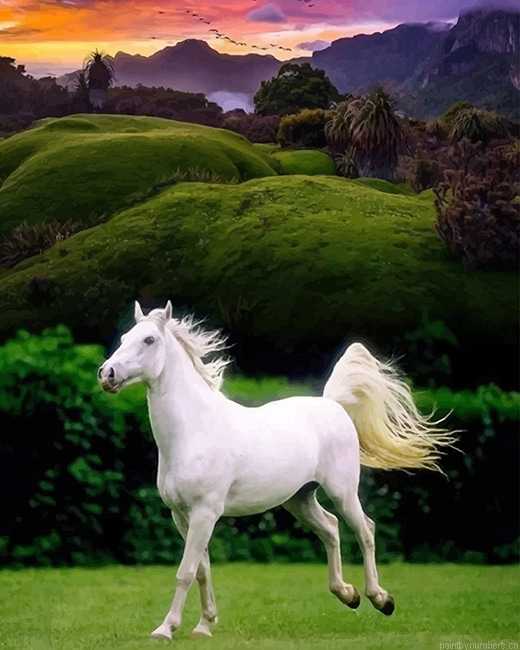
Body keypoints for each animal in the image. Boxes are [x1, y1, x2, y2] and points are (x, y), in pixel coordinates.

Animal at [98, 300, 455, 640]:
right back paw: (347, 594)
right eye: (125, 338)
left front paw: (165, 629)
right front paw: (204, 626)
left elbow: (185, 572)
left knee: (365, 530)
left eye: (149, 340)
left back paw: (380, 599)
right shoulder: (181, 516)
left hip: (342, 492)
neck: (193, 431)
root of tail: (333, 404)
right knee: (331, 528)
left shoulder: (204, 513)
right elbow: (201, 569)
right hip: (300, 500)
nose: (107, 374)